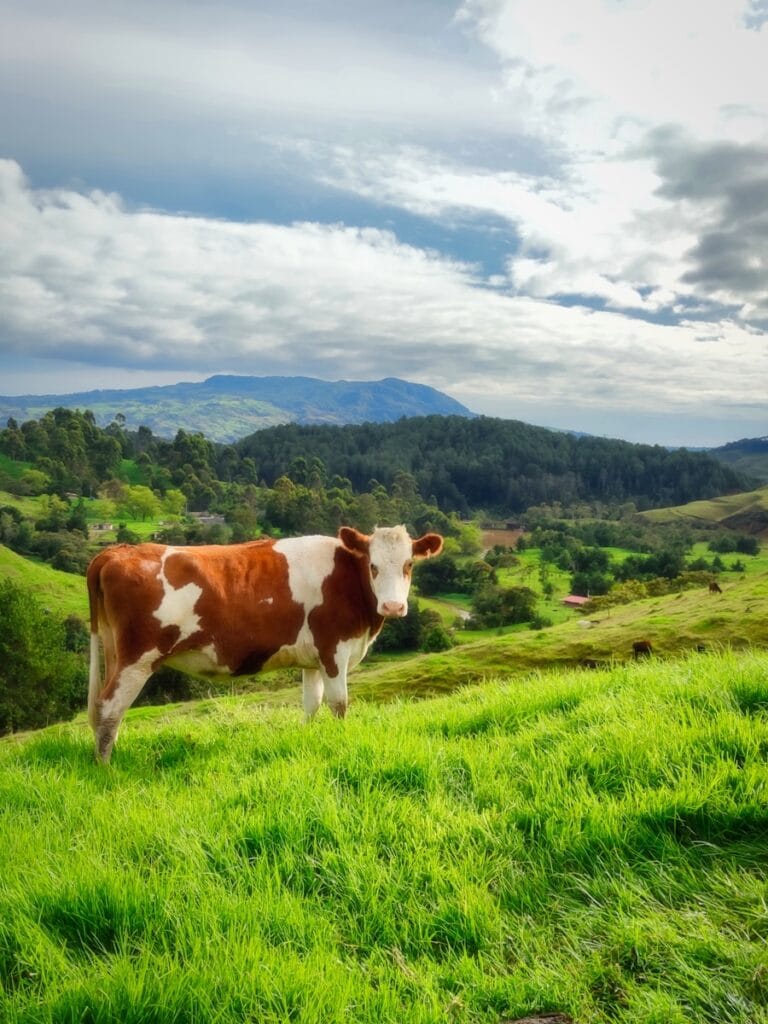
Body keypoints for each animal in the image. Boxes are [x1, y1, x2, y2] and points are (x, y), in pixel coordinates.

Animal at [87, 525, 443, 762]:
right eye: (373, 565)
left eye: (409, 564)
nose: (393, 607)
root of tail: (118, 551)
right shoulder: (334, 650)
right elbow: (339, 705)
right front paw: (342, 742)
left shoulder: (312, 659)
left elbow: (311, 704)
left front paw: (308, 739)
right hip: (137, 657)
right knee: (109, 707)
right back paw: (106, 767)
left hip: (114, 650)